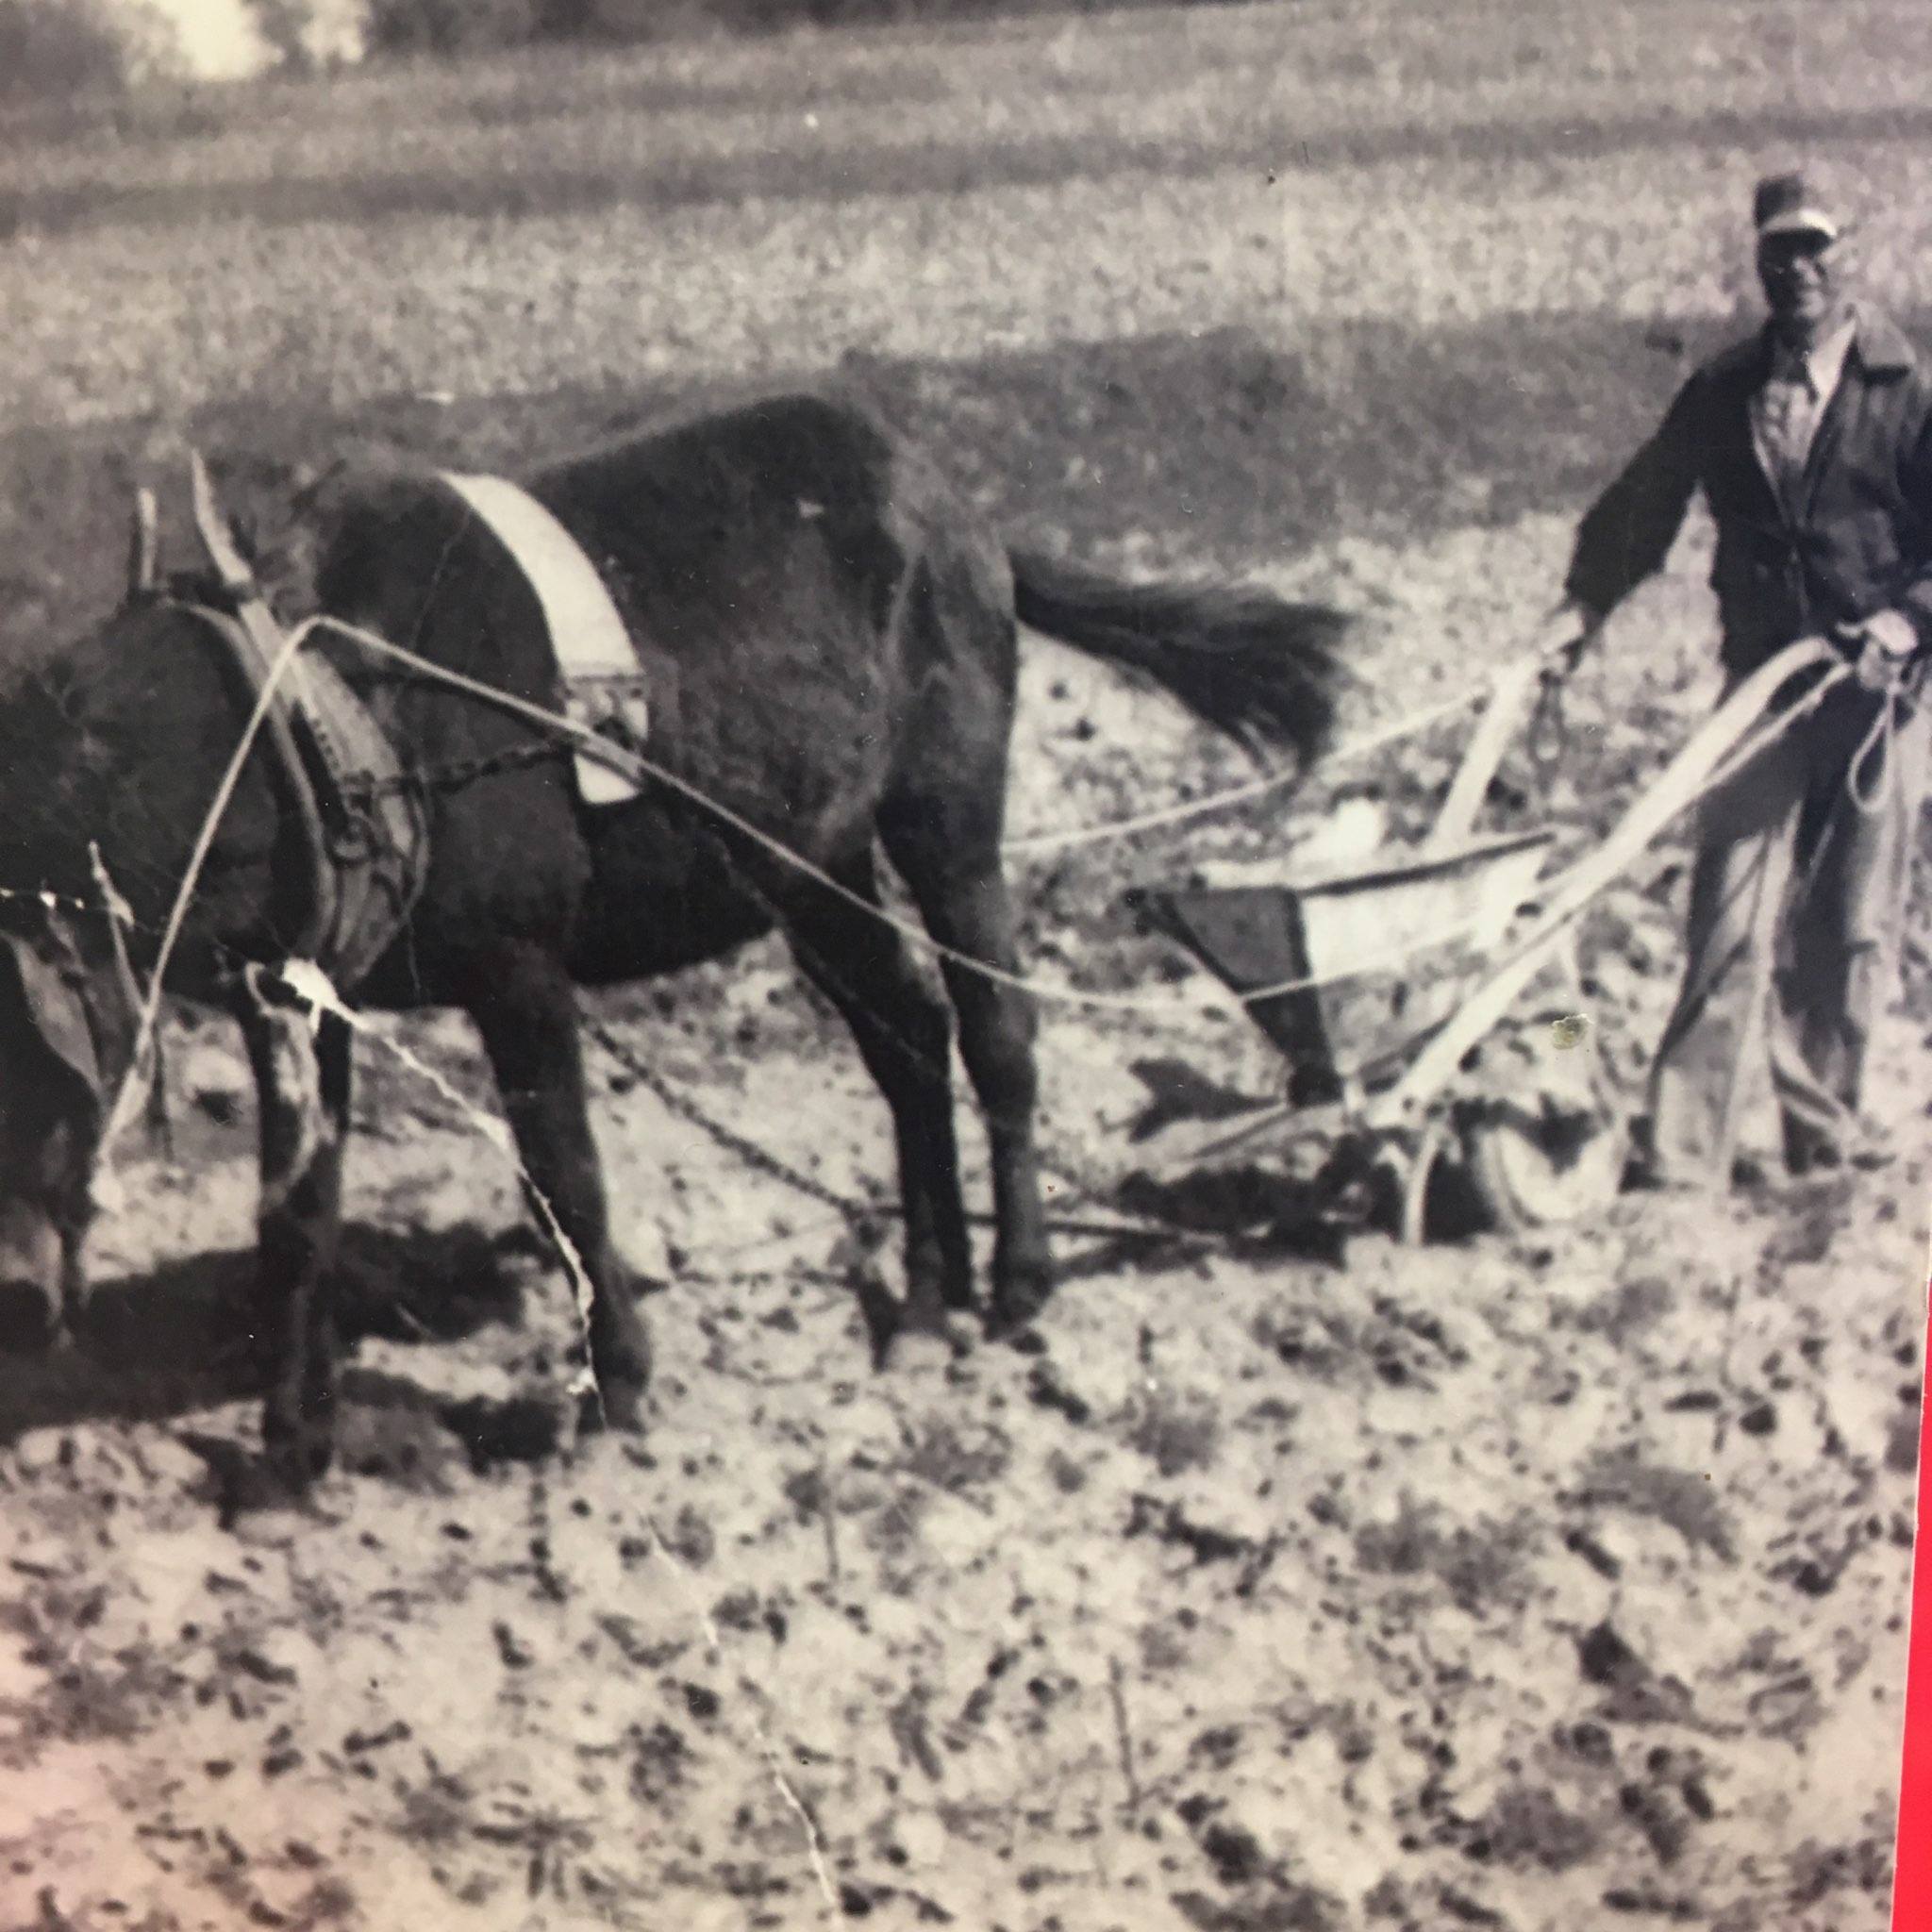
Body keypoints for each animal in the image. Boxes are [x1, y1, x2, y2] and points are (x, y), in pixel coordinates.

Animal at [0, 390, 1344, 1495]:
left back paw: (1017, 1283)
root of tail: (960, 509)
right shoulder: (299, 993)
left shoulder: (520, 968)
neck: (314, 710)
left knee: (995, 1026)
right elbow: (296, 1216)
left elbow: (564, 1171)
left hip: (945, 818)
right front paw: (291, 1448)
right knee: (909, 1036)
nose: (23, 1292)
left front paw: (618, 1387)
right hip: (811, 860)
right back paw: (922, 1302)